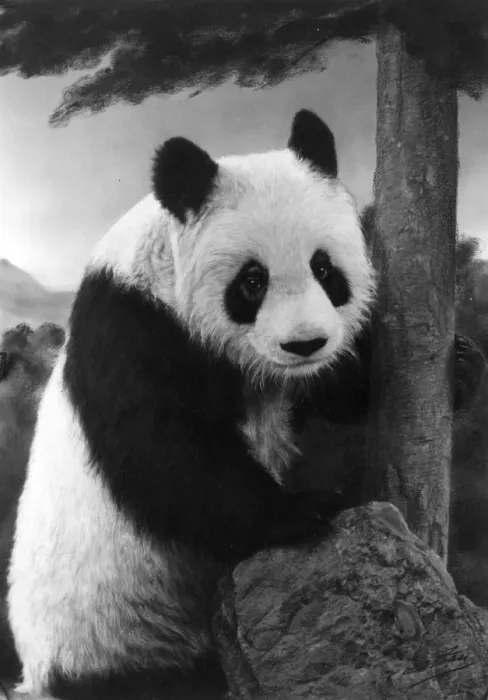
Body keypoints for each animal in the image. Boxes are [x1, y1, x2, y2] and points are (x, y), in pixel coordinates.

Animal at [6, 109, 376, 698]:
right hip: (113, 637)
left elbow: (333, 395)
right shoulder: (129, 326)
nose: (306, 344)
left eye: (325, 270)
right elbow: (164, 452)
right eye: (252, 281)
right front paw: (303, 509)